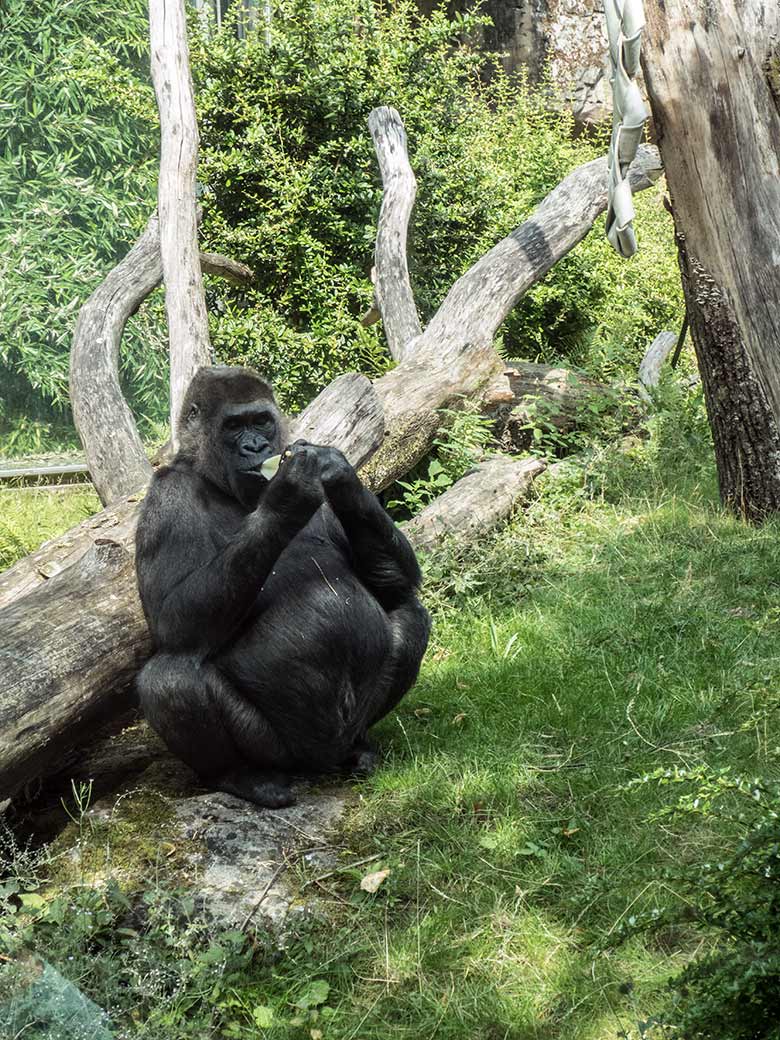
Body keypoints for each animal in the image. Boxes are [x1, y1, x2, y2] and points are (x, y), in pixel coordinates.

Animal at [133, 370, 428, 807]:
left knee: (411, 614)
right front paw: (285, 499)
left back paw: (359, 749)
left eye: (261, 422)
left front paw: (339, 473)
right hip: (277, 750)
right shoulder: (164, 499)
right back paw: (240, 776)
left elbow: (396, 586)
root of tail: (320, 763)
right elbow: (172, 624)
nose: (256, 447)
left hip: (346, 730)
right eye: (233, 427)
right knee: (170, 675)